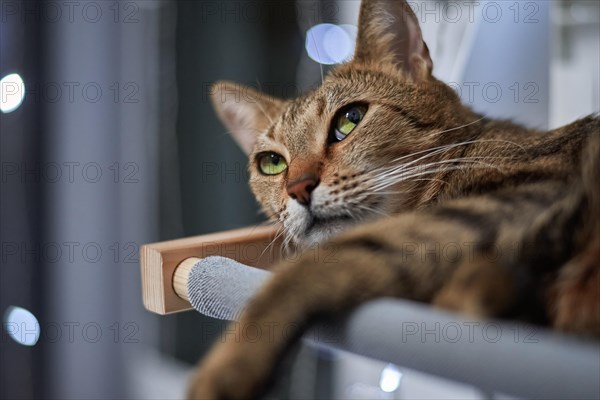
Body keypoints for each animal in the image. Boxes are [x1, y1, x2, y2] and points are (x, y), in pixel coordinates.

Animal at [189, 0, 600, 396]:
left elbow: (305, 270)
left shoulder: (528, 191)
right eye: (272, 163)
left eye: (350, 119)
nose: (298, 187)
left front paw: (227, 364)